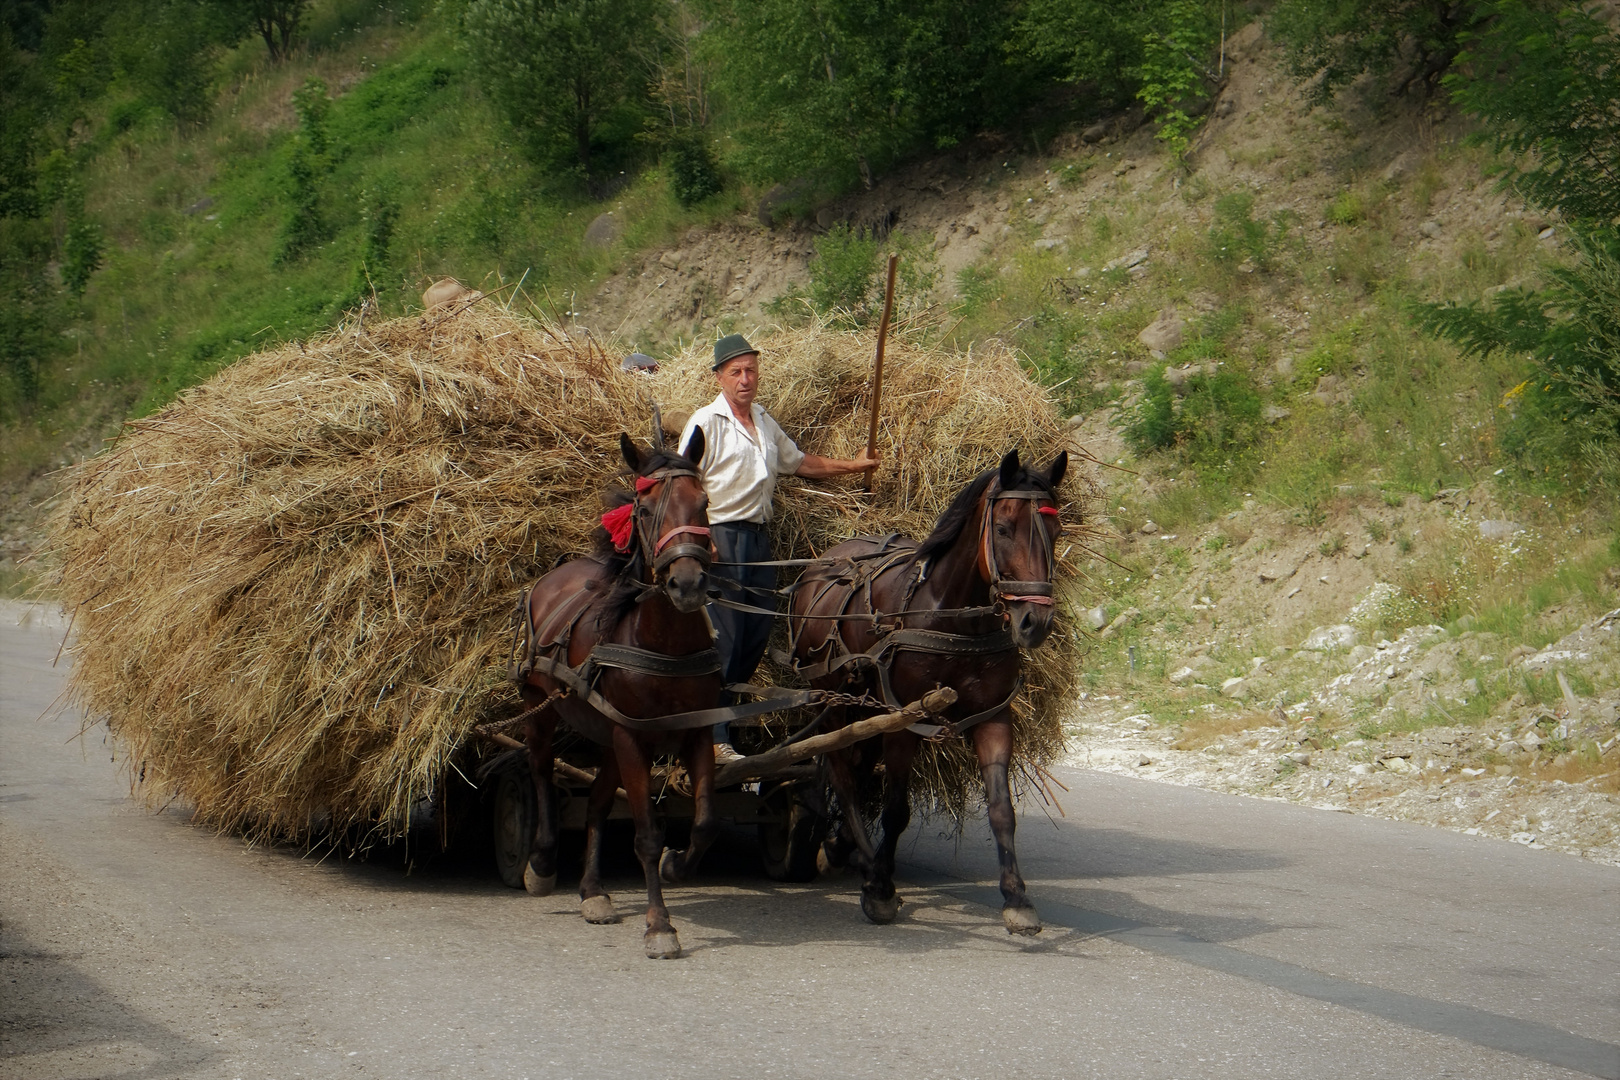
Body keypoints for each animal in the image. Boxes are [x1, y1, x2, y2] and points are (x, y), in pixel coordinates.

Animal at [515, 427, 725, 958]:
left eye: (704, 502)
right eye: (645, 510)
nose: (688, 583)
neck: (663, 641)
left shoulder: (694, 731)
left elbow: (705, 822)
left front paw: (676, 864)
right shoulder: (633, 740)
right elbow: (646, 833)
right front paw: (659, 925)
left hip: (608, 734)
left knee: (595, 803)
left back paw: (594, 891)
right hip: (539, 708)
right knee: (541, 772)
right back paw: (542, 863)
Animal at [790, 446, 1069, 939]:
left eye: (1056, 532)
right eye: (1003, 528)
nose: (1035, 624)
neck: (952, 616)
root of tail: (826, 559)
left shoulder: (992, 718)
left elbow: (1002, 810)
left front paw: (1017, 898)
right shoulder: (905, 721)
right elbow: (896, 810)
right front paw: (880, 889)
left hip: (866, 708)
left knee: (858, 768)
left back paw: (844, 846)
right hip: (833, 701)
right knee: (843, 775)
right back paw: (863, 859)